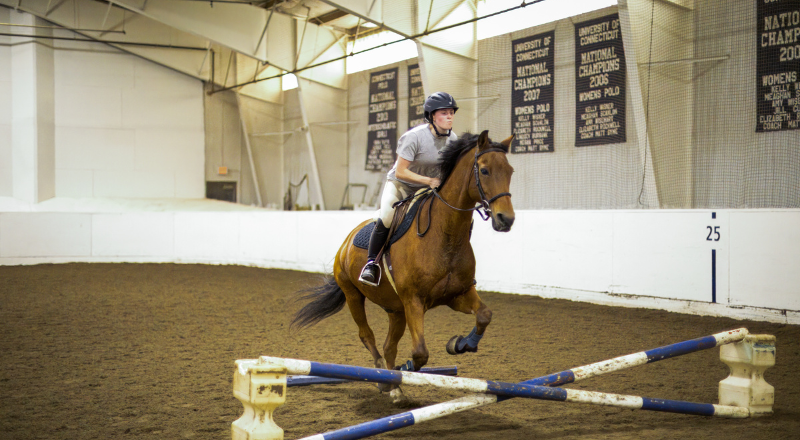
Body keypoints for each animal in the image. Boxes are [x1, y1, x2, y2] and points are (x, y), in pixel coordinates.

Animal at [290, 130, 516, 396]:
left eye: (510, 171)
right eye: (484, 170)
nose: (506, 219)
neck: (445, 234)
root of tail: (346, 242)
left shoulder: (457, 294)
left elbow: (484, 315)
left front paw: (460, 344)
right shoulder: (414, 301)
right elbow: (420, 353)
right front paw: (407, 367)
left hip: (395, 309)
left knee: (389, 345)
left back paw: (394, 386)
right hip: (353, 295)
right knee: (367, 336)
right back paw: (383, 378)